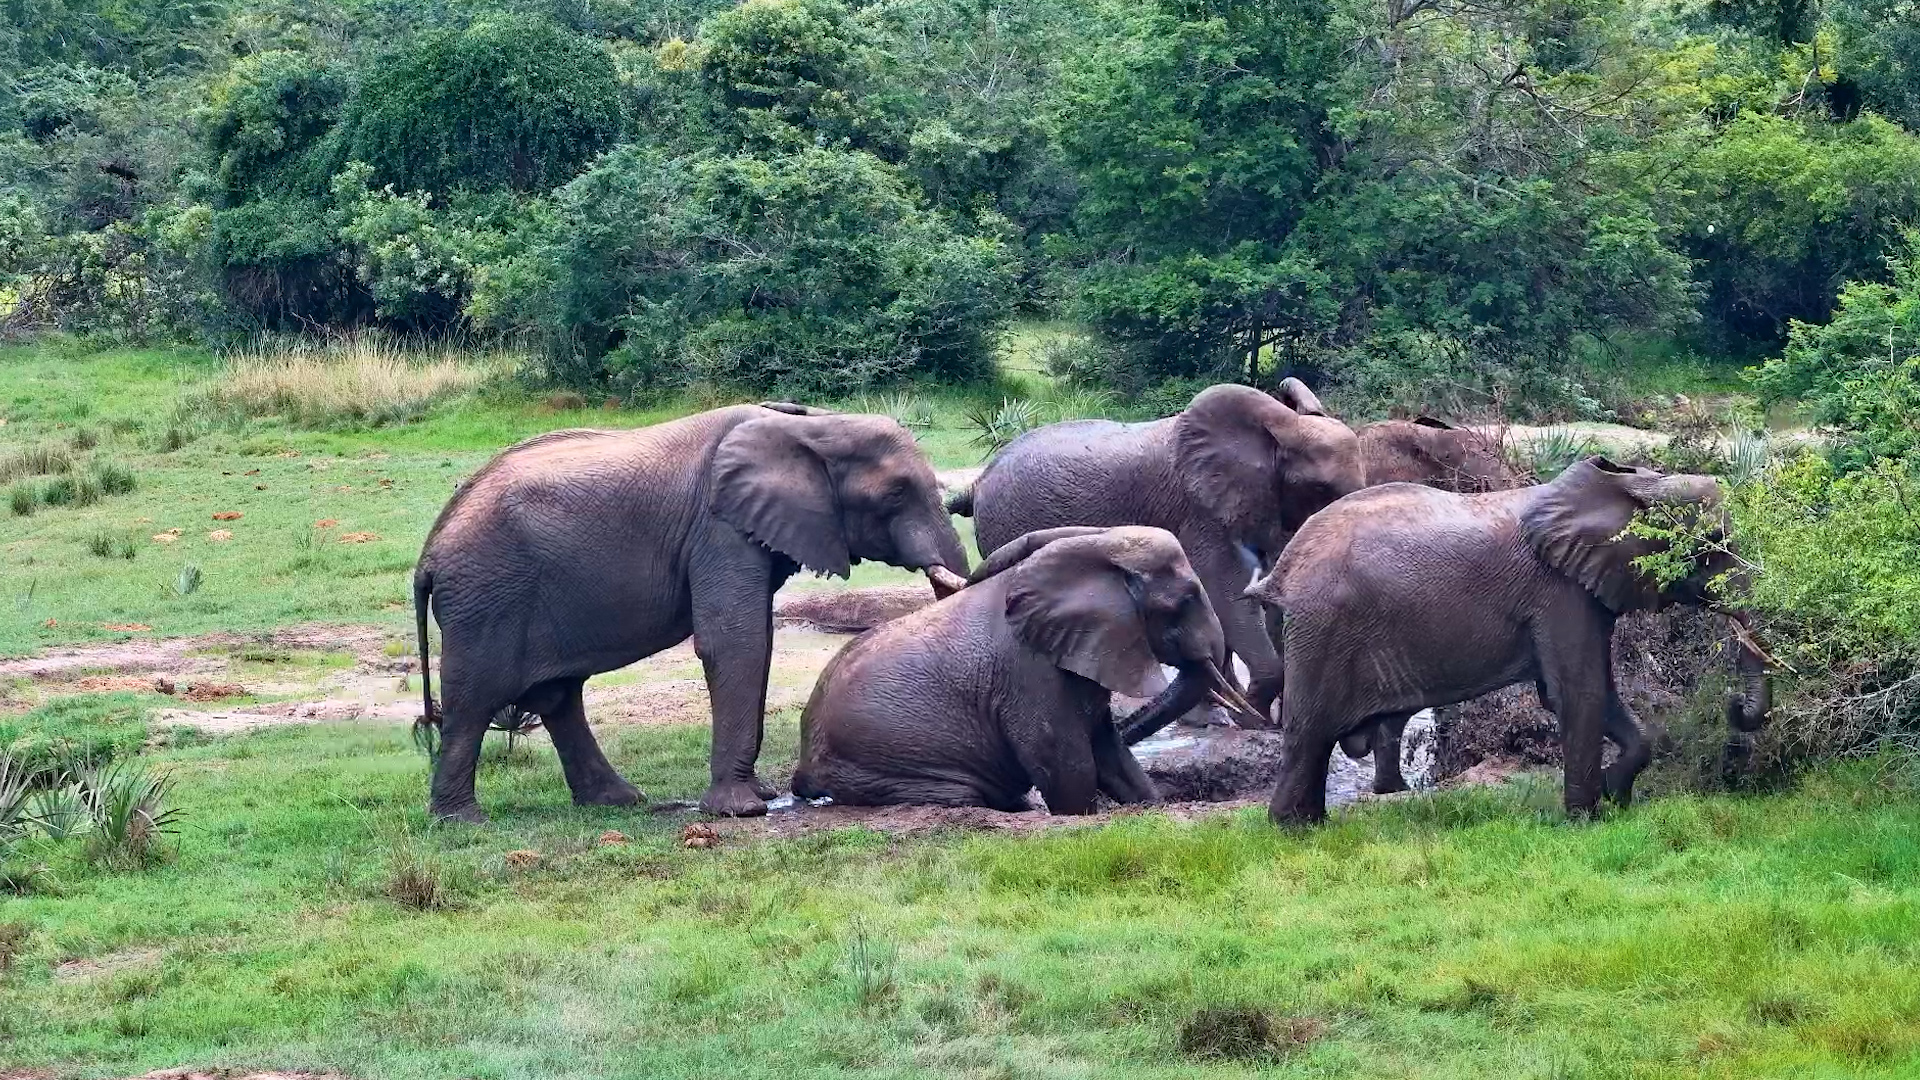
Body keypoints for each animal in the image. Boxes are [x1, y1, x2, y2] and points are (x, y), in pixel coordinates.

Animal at [412, 403, 971, 822]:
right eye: (896, 493)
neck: (812, 423)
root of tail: (429, 553)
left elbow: (754, 637)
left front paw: (759, 797)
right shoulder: (718, 528)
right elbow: (736, 640)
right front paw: (744, 811)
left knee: (557, 696)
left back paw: (618, 802)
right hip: (487, 598)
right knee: (476, 700)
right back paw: (462, 821)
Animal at [790, 526, 1260, 812]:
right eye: (1186, 599)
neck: (1099, 548)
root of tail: (804, 767)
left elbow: (1110, 752)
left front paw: (1150, 805)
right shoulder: (1029, 673)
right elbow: (1068, 767)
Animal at [946, 380, 1365, 724]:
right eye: (1320, 489)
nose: (1267, 716)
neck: (1280, 429)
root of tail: (978, 480)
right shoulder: (1199, 512)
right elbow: (1228, 596)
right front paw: (1247, 718)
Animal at [1248, 456, 1771, 824]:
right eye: (1710, 547)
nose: (1732, 705)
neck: (1634, 484)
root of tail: (1282, 570)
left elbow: (1594, 691)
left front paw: (1617, 794)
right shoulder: (1560, 592)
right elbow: (1576, 692)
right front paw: (1587, 819)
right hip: (1322, 630)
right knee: (1309, 732)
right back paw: (1293, 830)